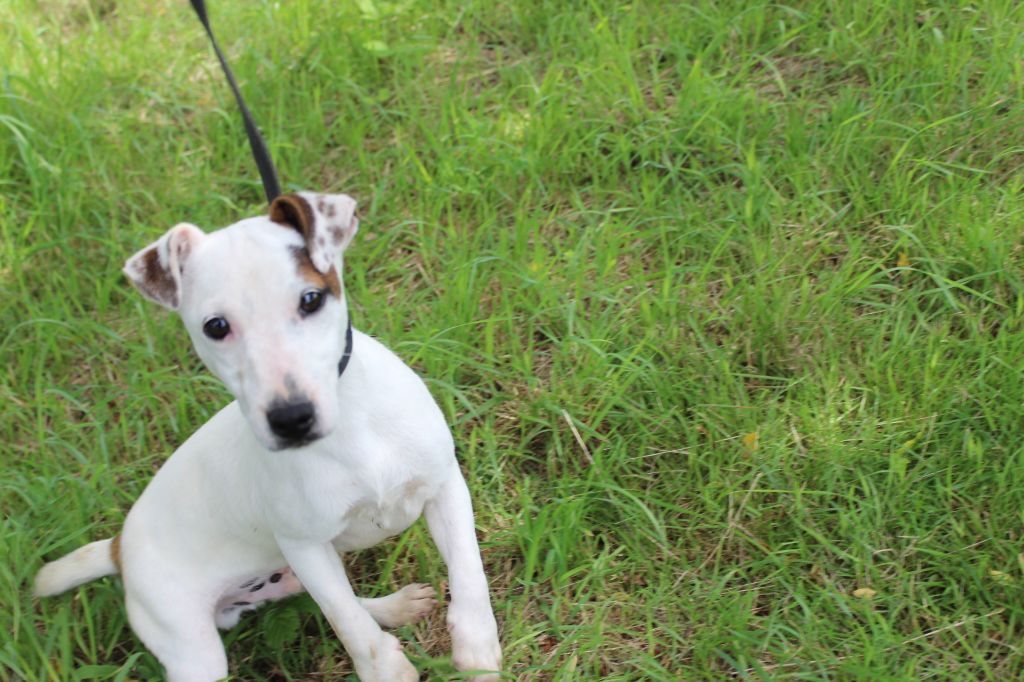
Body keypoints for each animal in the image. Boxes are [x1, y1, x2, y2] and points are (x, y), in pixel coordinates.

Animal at [34, 192, 502, 682]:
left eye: (311, 298)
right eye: (216, 326)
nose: (292, 418)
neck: (352, 427)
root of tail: (118, 548)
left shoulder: (445, 485)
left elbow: (469, 571)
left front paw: (476, 648)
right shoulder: (305, 546)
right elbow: (348, 623)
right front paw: (386, 671)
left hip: (283, 576)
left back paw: (395, 606)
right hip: (196, 647)